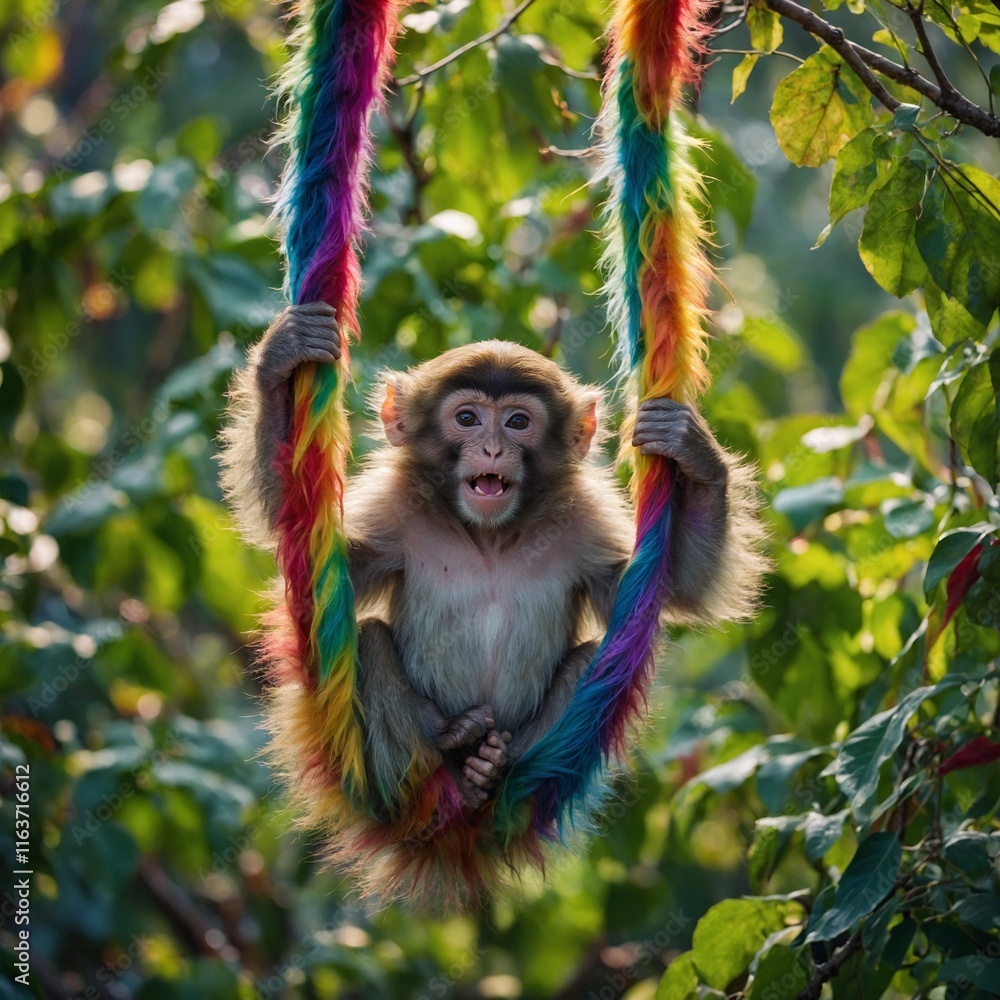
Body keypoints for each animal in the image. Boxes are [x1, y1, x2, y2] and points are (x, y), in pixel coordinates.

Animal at [220, 303, 766, 816]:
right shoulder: (394, 510)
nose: (493, 448)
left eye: (517, 422)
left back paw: (496, 765)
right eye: (468, 418)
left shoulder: (584, 522)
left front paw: (695, 454)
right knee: (371, 639)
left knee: (594, 658)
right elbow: (309, 550)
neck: (488, 538)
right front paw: (280, 362)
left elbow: (671, 591)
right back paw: (450, 744)